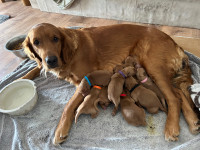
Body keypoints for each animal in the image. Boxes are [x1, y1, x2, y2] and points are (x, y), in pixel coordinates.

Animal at [21, 23, 200, 144]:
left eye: (55, 39)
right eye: (36, 42)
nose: (51, 60)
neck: (68, 54)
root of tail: (176, 44)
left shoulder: (84, 81)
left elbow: (69, 106)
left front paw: (60, 130)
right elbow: (36, 66)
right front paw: (23, 77)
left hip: (153, 65)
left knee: (173, 98)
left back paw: (171, 128)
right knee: (179, 93)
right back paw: (193, 122)